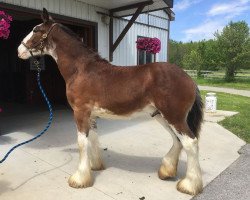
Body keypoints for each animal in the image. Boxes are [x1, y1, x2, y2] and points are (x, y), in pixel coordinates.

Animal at [18, 8, 204, 195]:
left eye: (35, 29)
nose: (19, 50)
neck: (81, 69)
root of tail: (189, 79)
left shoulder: (80, 112)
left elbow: (81, 142)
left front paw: (79, 179)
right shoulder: (91, 115)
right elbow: (93, 138)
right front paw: (94, 167)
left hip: (174, 117)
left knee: (190, 142)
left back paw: (189, 185)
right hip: (161, 116)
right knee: (177, 141)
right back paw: (167, 171)